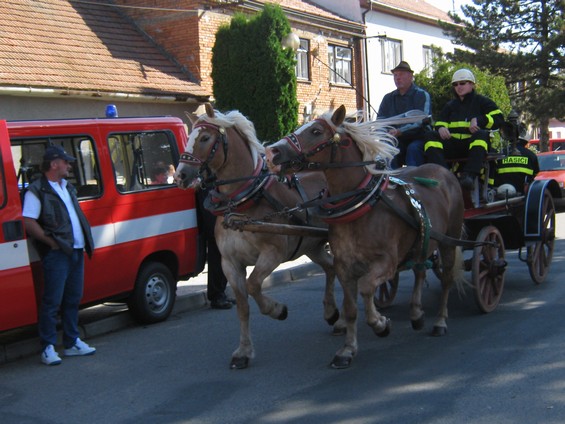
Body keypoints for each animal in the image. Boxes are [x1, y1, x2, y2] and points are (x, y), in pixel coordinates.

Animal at [174, 102, 338, 368]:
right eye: (189, 137)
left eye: (205, 138)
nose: (180, 175)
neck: (243, 201)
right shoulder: (230, 263)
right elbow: (242, 306)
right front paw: (243, 351)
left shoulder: (273, 253)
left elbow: (253, 285)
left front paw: (277, 309)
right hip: (312, 245)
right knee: (332, 268)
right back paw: (333, 315)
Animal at [266, 105, 464, 368]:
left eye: (316, 131)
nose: (271, 152)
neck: (361, 204)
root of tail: (443, 171)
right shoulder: (344, 265)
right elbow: (351, 308)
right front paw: (347, 350)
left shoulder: (387, 262)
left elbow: (367, 287)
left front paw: (380, 324)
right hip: (423, 240)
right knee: (420, 271)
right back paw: (416, 313)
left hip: (449, 240)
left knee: (447, 278)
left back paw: (440, 321)